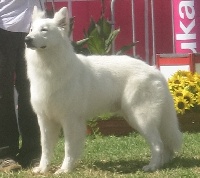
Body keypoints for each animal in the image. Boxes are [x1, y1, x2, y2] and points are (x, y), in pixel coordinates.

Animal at [24, 7, 182, 175]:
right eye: (32, 30)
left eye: (44, 30)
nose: (27, 39)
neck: (49, 68)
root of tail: (154, 70)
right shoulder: (45, 120)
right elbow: (45, 148)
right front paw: (42, 169)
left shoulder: (70, 120)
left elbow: (69, 148)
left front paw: (65, 169)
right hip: (134, 116)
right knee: (164, 144)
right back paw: (163, 163)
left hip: (141, 118)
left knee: (158, 144)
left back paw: (152, 166)